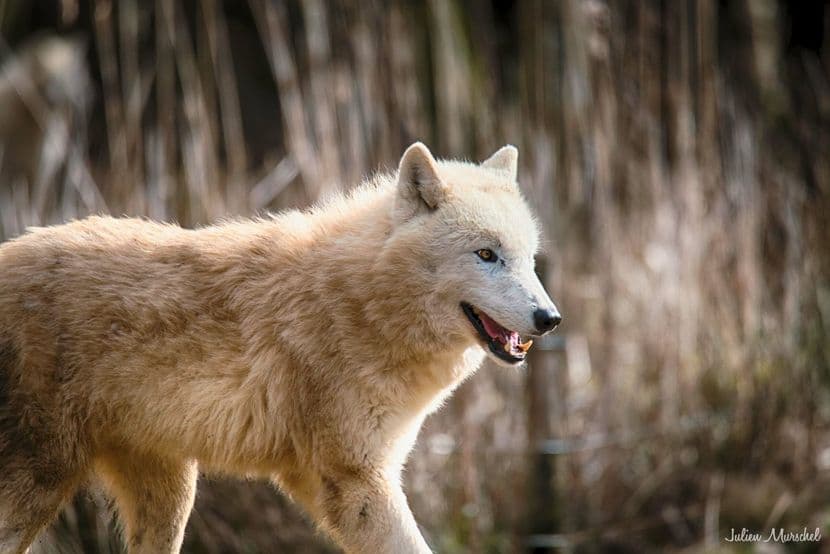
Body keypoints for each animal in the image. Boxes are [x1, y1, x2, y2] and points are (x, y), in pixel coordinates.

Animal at [0, 142, 561, 554]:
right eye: (486, 254)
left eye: (530, 259)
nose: (549, 319)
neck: (364, 302)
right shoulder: (357, 482)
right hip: (43, 484)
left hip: (170, 497)